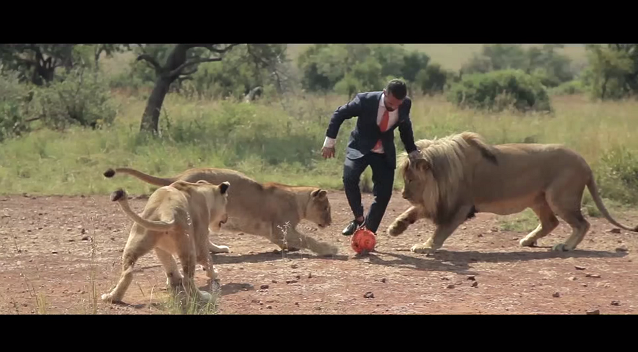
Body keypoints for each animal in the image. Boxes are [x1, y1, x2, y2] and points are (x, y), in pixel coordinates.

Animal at [104, 166, 340, 258]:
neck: (297, 199)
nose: (330, 222)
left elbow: (292, 241)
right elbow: (308, 239)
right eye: (327, 208)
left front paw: (289, 247)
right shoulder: (280, 227)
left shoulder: (278, 233)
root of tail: (180, 176)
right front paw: (330, 249)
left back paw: (218, 250)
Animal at [104, 180, 234, 304]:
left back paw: (112, 297)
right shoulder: (200, 234)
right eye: (226, 202)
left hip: (136, 241)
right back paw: (204, 297)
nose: (227, 217)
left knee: (127, 273)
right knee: (188, 280)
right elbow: (207, 258)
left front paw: (174, 279)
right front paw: (214, 273)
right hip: (189, 248)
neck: (199, 189)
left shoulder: (160, 247)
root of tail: (167, 212)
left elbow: (169, 263)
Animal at [390, 131, 638, 254]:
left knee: (582, 223)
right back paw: (528, 240)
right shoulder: (439, 201)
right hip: (539, 199)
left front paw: (425, 246)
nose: (403, 195)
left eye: (410, 179)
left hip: (559, 197)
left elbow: (440, 231)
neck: (441, 175)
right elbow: (413, 212)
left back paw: (565, 246)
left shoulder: (460, 206)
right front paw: (395, 227)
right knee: (551, 223)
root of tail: (585, 163)